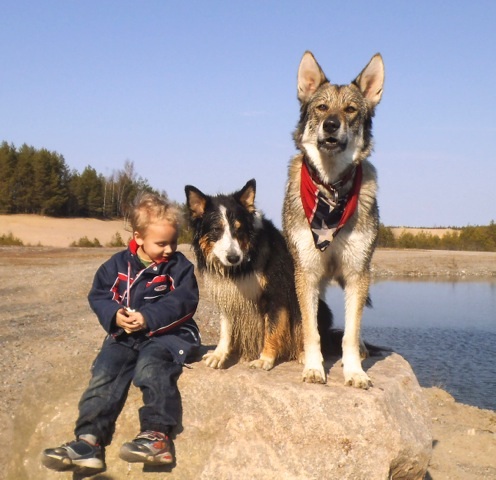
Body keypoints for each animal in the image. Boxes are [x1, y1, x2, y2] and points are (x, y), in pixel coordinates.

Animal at [282, 49, 384, 386]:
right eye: (322, 107)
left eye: (350, 110)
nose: (330, 125)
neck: (331, 189)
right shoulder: (307, 273)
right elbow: (312, 330)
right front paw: (314, 367)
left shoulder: (357, 273)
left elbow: (350, 333)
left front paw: (355, 372)